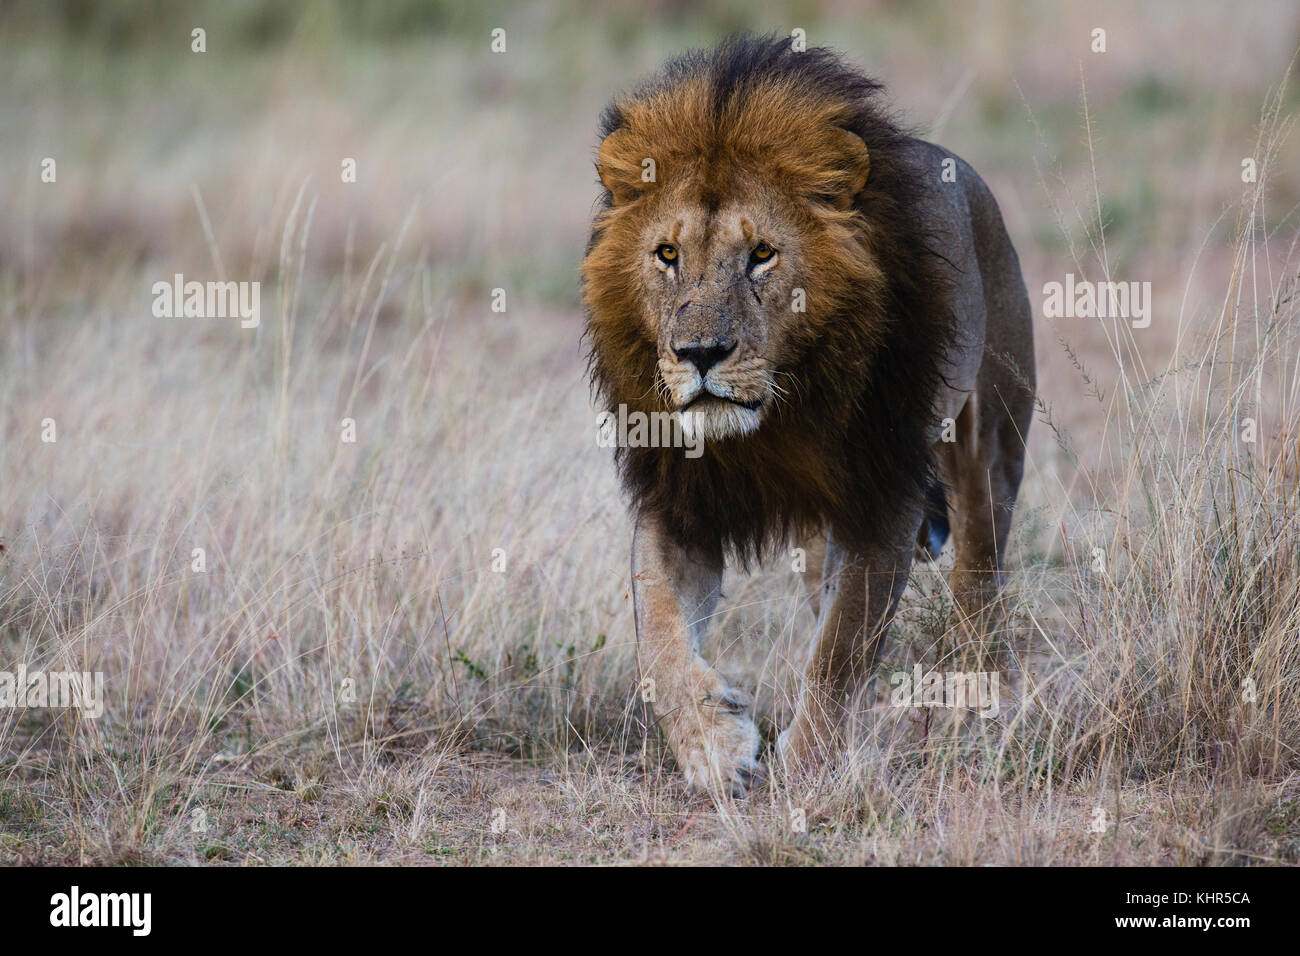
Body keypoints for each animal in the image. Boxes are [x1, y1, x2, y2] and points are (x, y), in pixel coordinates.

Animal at [581, 35, 1035, 794]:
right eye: (667, 254)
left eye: (762, 255)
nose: (699, 353)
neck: (775, 417)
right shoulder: (677, 497)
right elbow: (660, 639)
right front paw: (713, 748)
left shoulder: (884, 498)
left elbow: (842, 648)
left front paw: (809, 767)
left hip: (991, 439)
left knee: (980, 569)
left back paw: (977, 700)